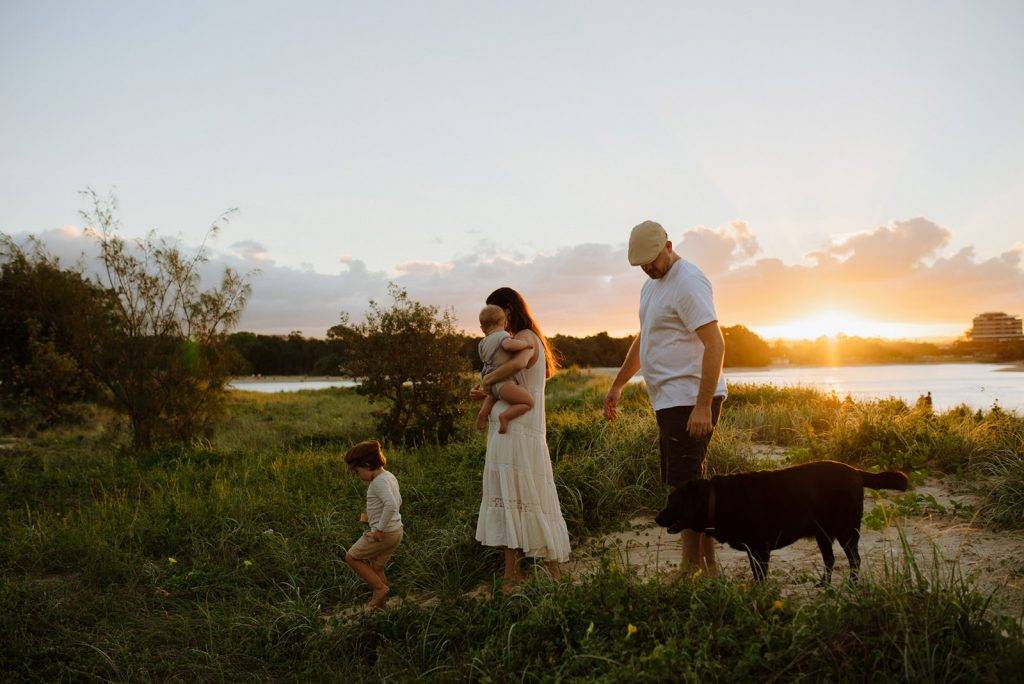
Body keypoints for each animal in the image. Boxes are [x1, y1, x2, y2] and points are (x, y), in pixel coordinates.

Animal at [651, 458, 909, 581]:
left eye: (673, 503)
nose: (656, 518)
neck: (717, 499)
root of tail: (856, 472)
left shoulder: (760, 549)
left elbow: (760, 576)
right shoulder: (752, 550)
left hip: (846, 532)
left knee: (854, 560)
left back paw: (851, 586)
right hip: (823, 535)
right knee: (830, 560)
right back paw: (824, 586)